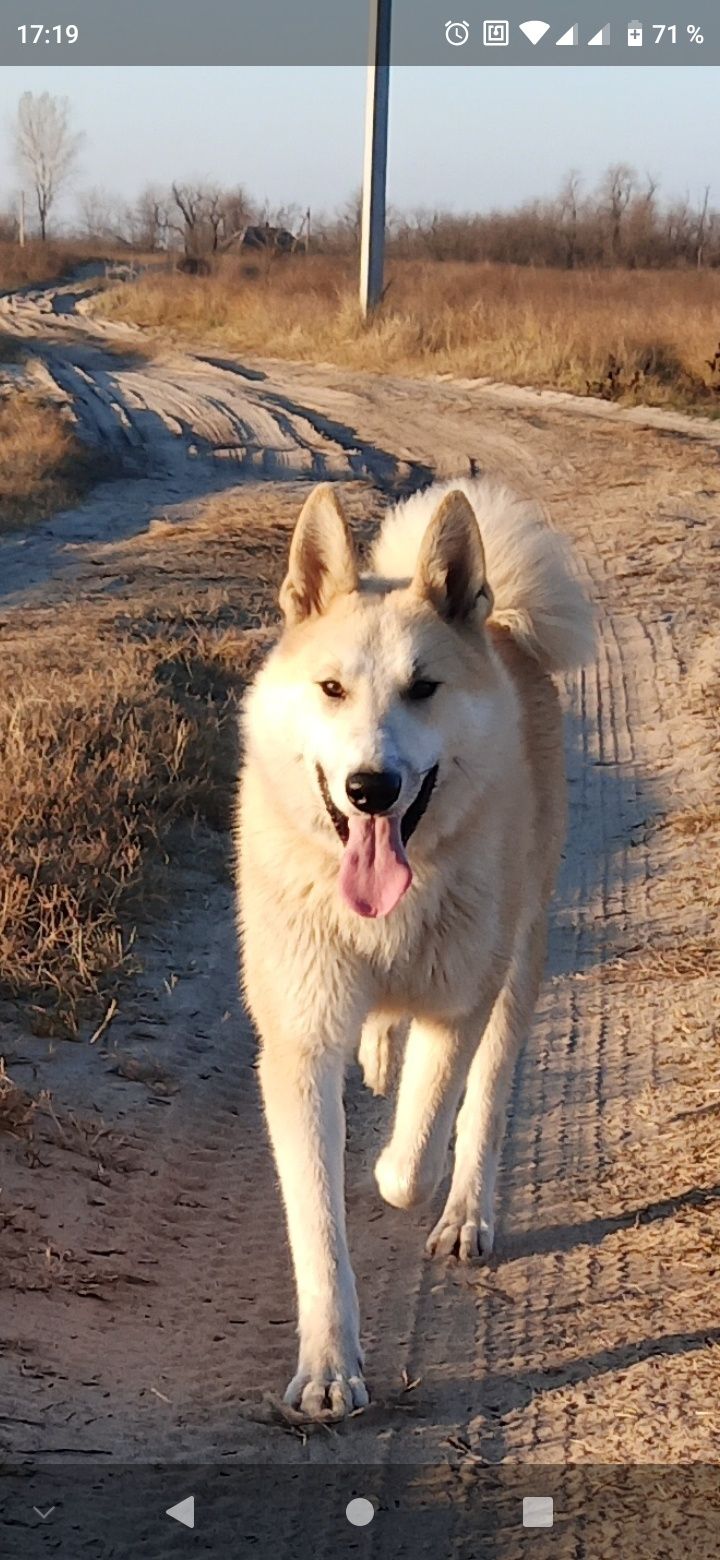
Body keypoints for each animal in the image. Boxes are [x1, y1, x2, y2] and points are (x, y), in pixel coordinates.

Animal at [236, 474, 589, 1416]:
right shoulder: (299, 1044)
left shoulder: (458, 1005)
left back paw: (466, 1213)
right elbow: (316, 1225)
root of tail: (500, 625)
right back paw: (377, 1051)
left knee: (484, 1107)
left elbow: (418, 1148)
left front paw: (397, 1167)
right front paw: (328, 1367)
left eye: (424, 688)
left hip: (516, 967)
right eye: (330, 688)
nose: (371, 788)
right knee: (385, 1038)